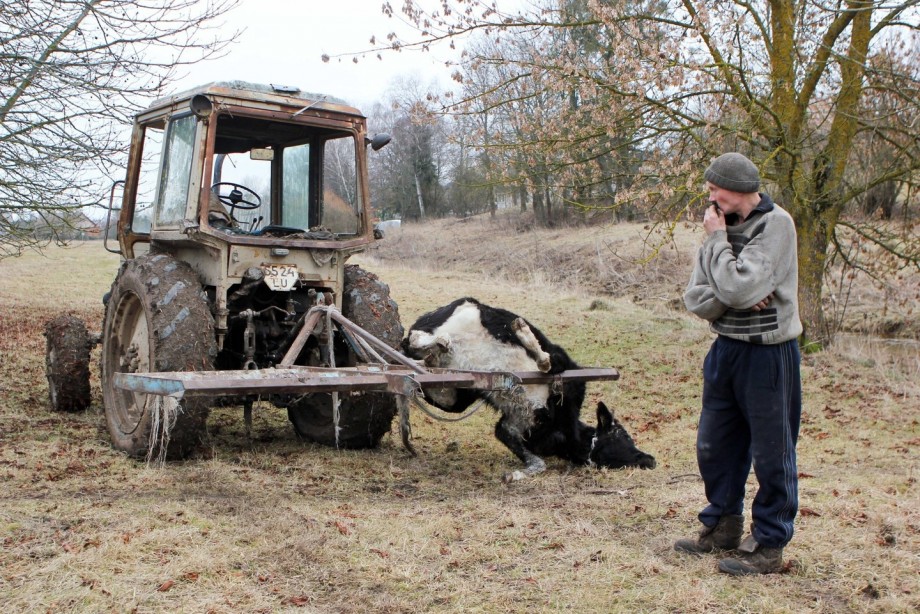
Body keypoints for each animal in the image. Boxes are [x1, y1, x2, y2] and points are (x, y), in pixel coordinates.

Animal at [402, 298, 656, 482]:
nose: (649, 460)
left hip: (460, 395)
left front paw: (515, 475)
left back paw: (432, 353)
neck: (566, 432)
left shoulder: (512, 426)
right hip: (468, 312)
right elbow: (546, 362)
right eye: (623, 435)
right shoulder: (564, 370)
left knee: (427, 366)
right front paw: (525, 334)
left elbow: (537, 462)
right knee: (417, 339)